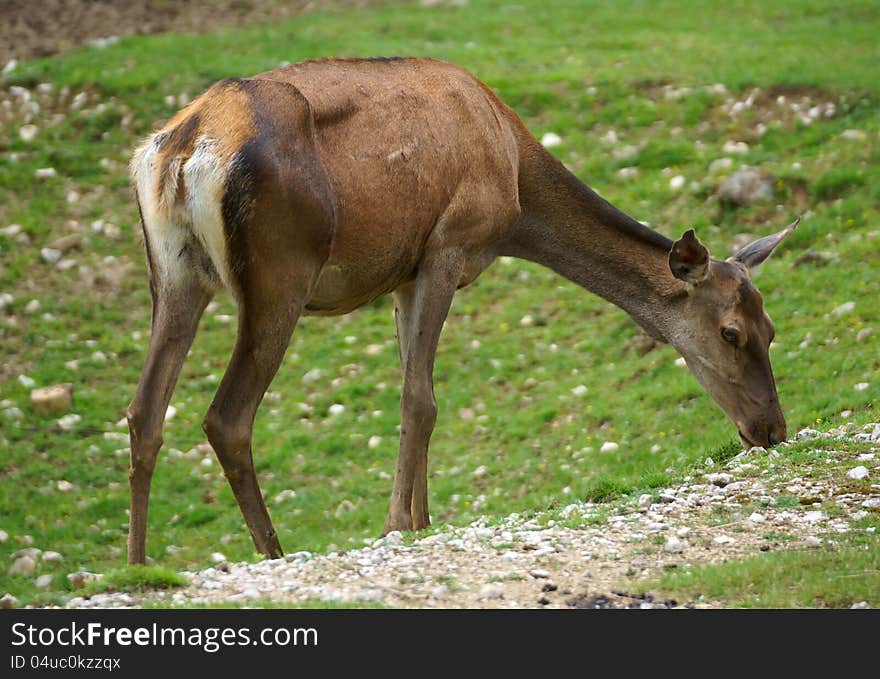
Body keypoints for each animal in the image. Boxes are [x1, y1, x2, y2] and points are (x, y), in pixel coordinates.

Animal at [129, 59, 796, 564]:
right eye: (731, 332)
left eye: (771, 329)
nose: (771, 430)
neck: (516, 186)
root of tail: (183, 150)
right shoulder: (448, 245)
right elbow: (420, 398)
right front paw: (397, 525)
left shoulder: (403, 274)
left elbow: (414, 390)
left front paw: (421, 520)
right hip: (280, 272)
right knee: (226, 416)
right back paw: (274, 551)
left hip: (174, 273)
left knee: (144, 410)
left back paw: (138, 567)